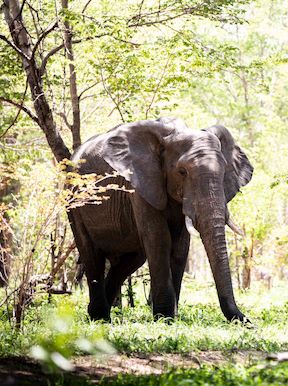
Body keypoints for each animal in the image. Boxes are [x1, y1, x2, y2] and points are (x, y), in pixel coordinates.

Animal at [68, 117, 253, 322]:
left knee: (130, 261)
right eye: (182, 172)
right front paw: (165, 318)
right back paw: (100, 317)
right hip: (73, 201)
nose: (248, 322)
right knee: (91, 254)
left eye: (224, 172)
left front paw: (171, 317)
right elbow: (159, 238)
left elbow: (180, 246)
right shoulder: (141, 184)